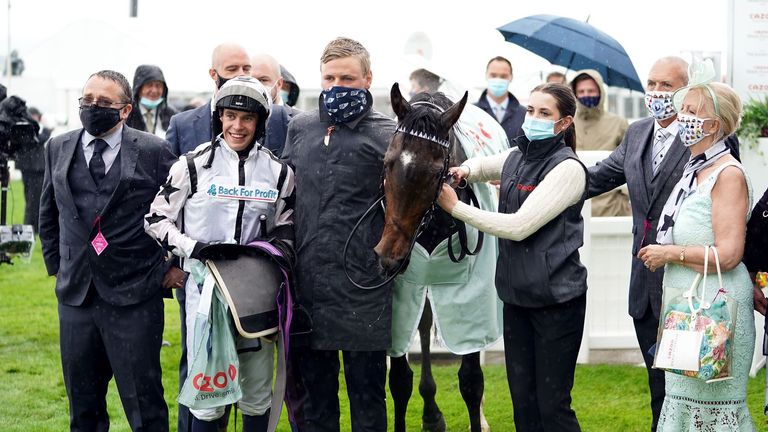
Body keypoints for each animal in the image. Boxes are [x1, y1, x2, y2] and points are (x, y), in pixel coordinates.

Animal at [376, 83, 508, 432]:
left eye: (437, 172)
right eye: (387, 161)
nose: (388, 255)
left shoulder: (470, 293)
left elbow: (471, 380)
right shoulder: (403, 294)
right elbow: (399, 379)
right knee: (422, 326)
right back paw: (431, 413)